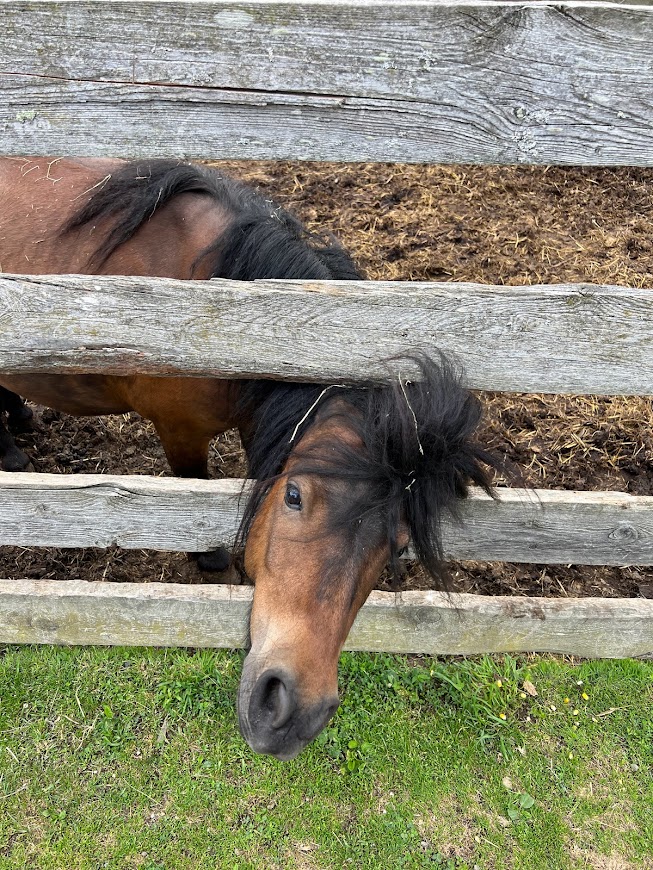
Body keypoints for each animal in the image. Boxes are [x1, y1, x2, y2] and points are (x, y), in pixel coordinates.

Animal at [0, 158, 492, 764]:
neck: (225, 314)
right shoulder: (181, 433)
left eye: (398, 546)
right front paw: (212, 562)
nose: (294, 715)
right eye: (294, 495)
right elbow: (197, 499)